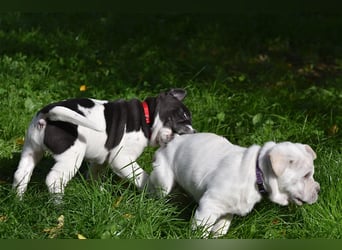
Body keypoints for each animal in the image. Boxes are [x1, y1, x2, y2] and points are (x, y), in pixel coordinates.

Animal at [148, 132, 320, 237]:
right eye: (306, 175)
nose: (318, 189)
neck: (256, 173)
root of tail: (171, 140)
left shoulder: (227, 211)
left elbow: (220, 229)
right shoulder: (208, 206)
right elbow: (200, 232)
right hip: (163, 181)